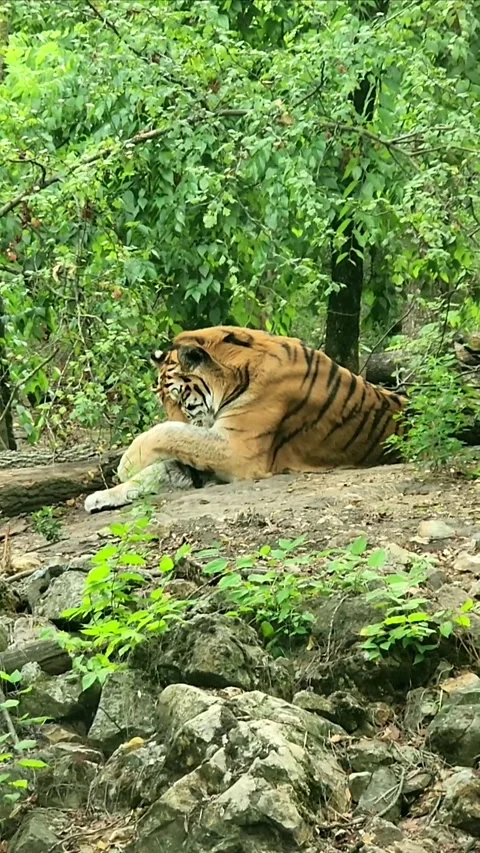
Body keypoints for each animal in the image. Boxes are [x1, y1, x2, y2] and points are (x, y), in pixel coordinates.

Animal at [84, 325, 406, 513]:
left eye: (179, 399)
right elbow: (162, 468)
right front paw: (100, 496)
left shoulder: (237, 448)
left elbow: (166, 432)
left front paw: (126, 465)